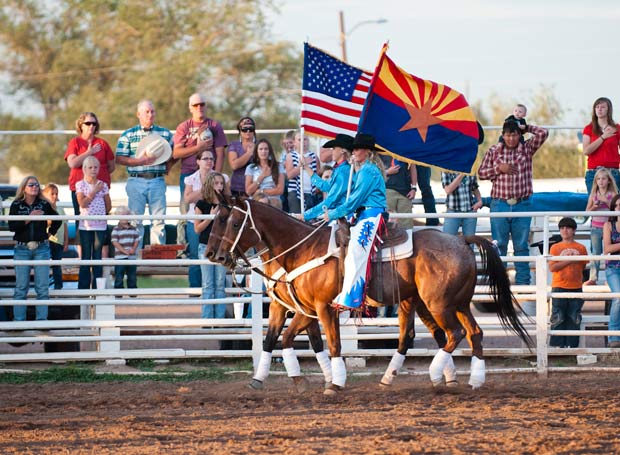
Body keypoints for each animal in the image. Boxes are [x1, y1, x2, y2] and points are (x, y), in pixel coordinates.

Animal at [206, 198, 532, 394]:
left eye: (232, 222)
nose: (214, 255)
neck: (301, 250)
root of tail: (461, 239)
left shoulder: (323, 308)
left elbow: (332, 344)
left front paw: (334, 383)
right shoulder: (295, 308)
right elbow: (278, 339)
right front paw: (272, 379)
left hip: (438, 304)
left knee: (453, 334)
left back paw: (435, 374)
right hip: (452, 303)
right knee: (471, 333)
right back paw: (471, 379)